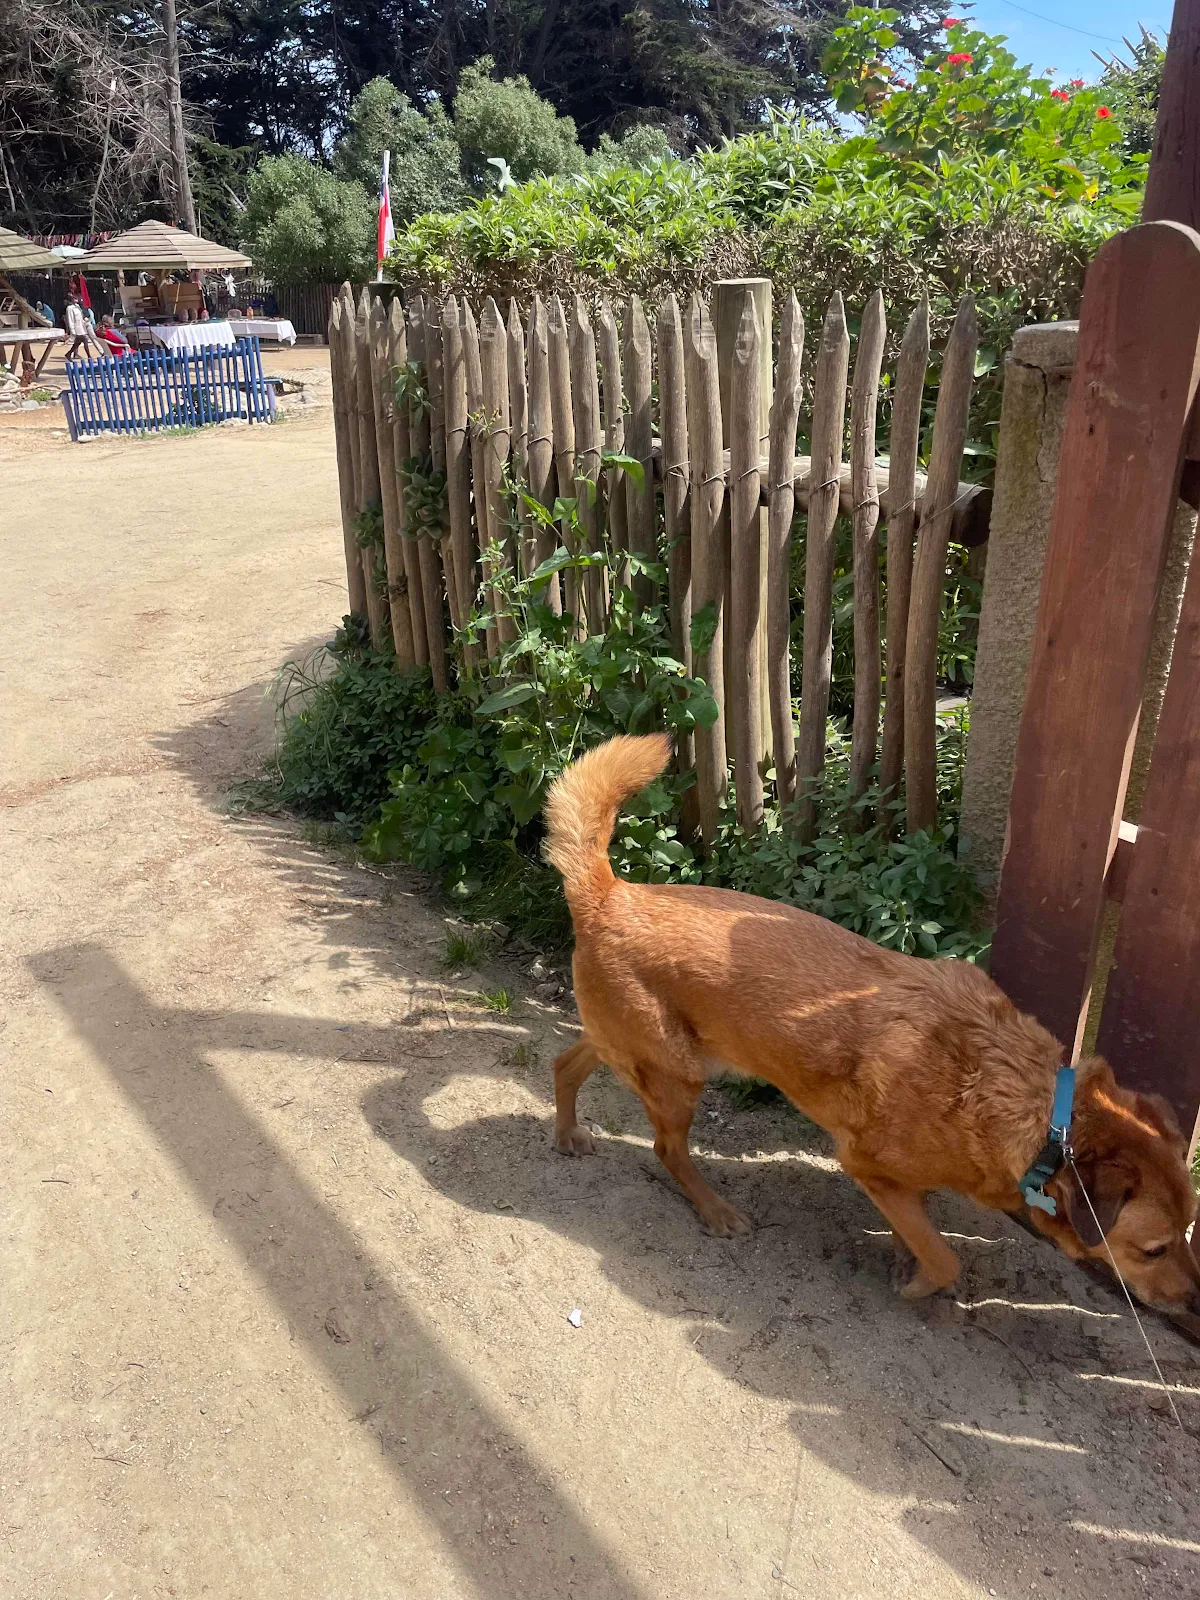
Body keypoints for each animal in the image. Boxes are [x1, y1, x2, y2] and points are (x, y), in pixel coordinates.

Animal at [542, 733, 1200, 1313]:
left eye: (1191, 1229)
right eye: (1154, 1249)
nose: (1196, 1300)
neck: (1040, 1114)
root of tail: (609, 893)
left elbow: (922, 1230)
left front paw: (904, 1257)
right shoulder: (868, 1167)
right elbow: (944, 1257)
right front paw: (918, 1284)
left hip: (644, 1050)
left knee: (566, 1062)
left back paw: (568, 1133)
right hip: (677, 1078)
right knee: (667, 1149)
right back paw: (714, 1209)